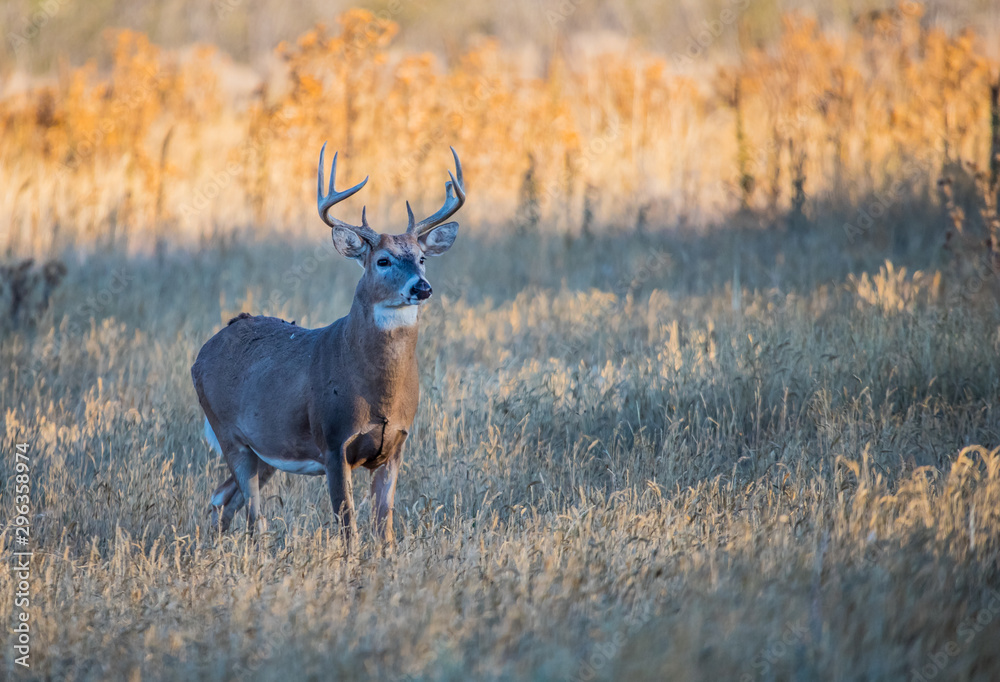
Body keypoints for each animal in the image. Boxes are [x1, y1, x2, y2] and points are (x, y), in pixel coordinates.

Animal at [191, 143, 465, 545]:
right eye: (383, 260)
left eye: (422, 258)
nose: (422, 287)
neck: (377, 392)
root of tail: (203, 352)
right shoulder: (334, 442)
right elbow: (348, 526)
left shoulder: (396, 445)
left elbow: (385, 526)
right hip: (229, 432)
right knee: (253, 514)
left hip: (265, 448)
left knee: (223, 498)